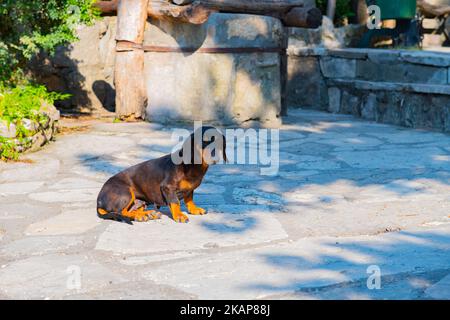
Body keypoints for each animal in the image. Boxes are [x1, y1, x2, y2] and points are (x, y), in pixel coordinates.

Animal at [96, 126, 227, 224]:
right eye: (203, 142)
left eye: (219, 143)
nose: (214, 158)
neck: (193, 166)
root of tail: (99, 201)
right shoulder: (167, 187)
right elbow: (175, 202)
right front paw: (179, 215)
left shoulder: (190, 189)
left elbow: (189, 199)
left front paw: (194, 209)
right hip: (126, 193)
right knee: (120, 212)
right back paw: (141, 216)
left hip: (140, 202)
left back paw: (148, 214)